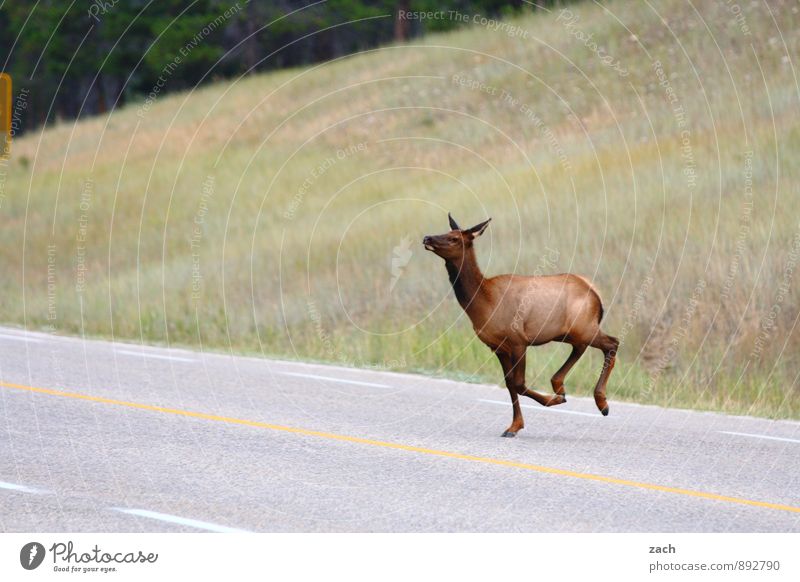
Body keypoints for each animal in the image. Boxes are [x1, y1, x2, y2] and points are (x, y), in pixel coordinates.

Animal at [424, 214, 620, 438]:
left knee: (613, 342)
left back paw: (601, 402)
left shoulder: (519, 340)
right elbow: (509, 384)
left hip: (585, 327)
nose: (427, 237)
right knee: (582, 347)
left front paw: (552, 401)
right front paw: (514, 426)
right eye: (447, 231)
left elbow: (518, 384)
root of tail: (595, 292)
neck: (483, 301)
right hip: (570, 333)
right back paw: (560, 386)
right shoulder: (497, 347)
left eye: (454, 238)